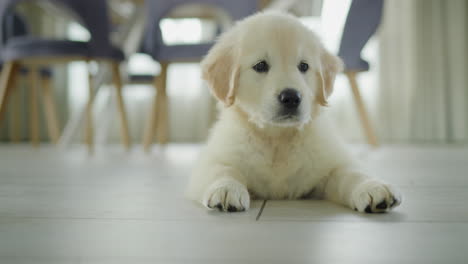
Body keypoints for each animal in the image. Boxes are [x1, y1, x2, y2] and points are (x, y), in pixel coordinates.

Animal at [188, 12, 400, 214]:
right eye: (260, 66)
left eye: (303, 66)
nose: (291, 97)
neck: (278, 140)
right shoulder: (214, 158)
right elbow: (221, 170)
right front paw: (227, 189)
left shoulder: (330, 163)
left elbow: (350, 172)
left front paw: (372, 187)